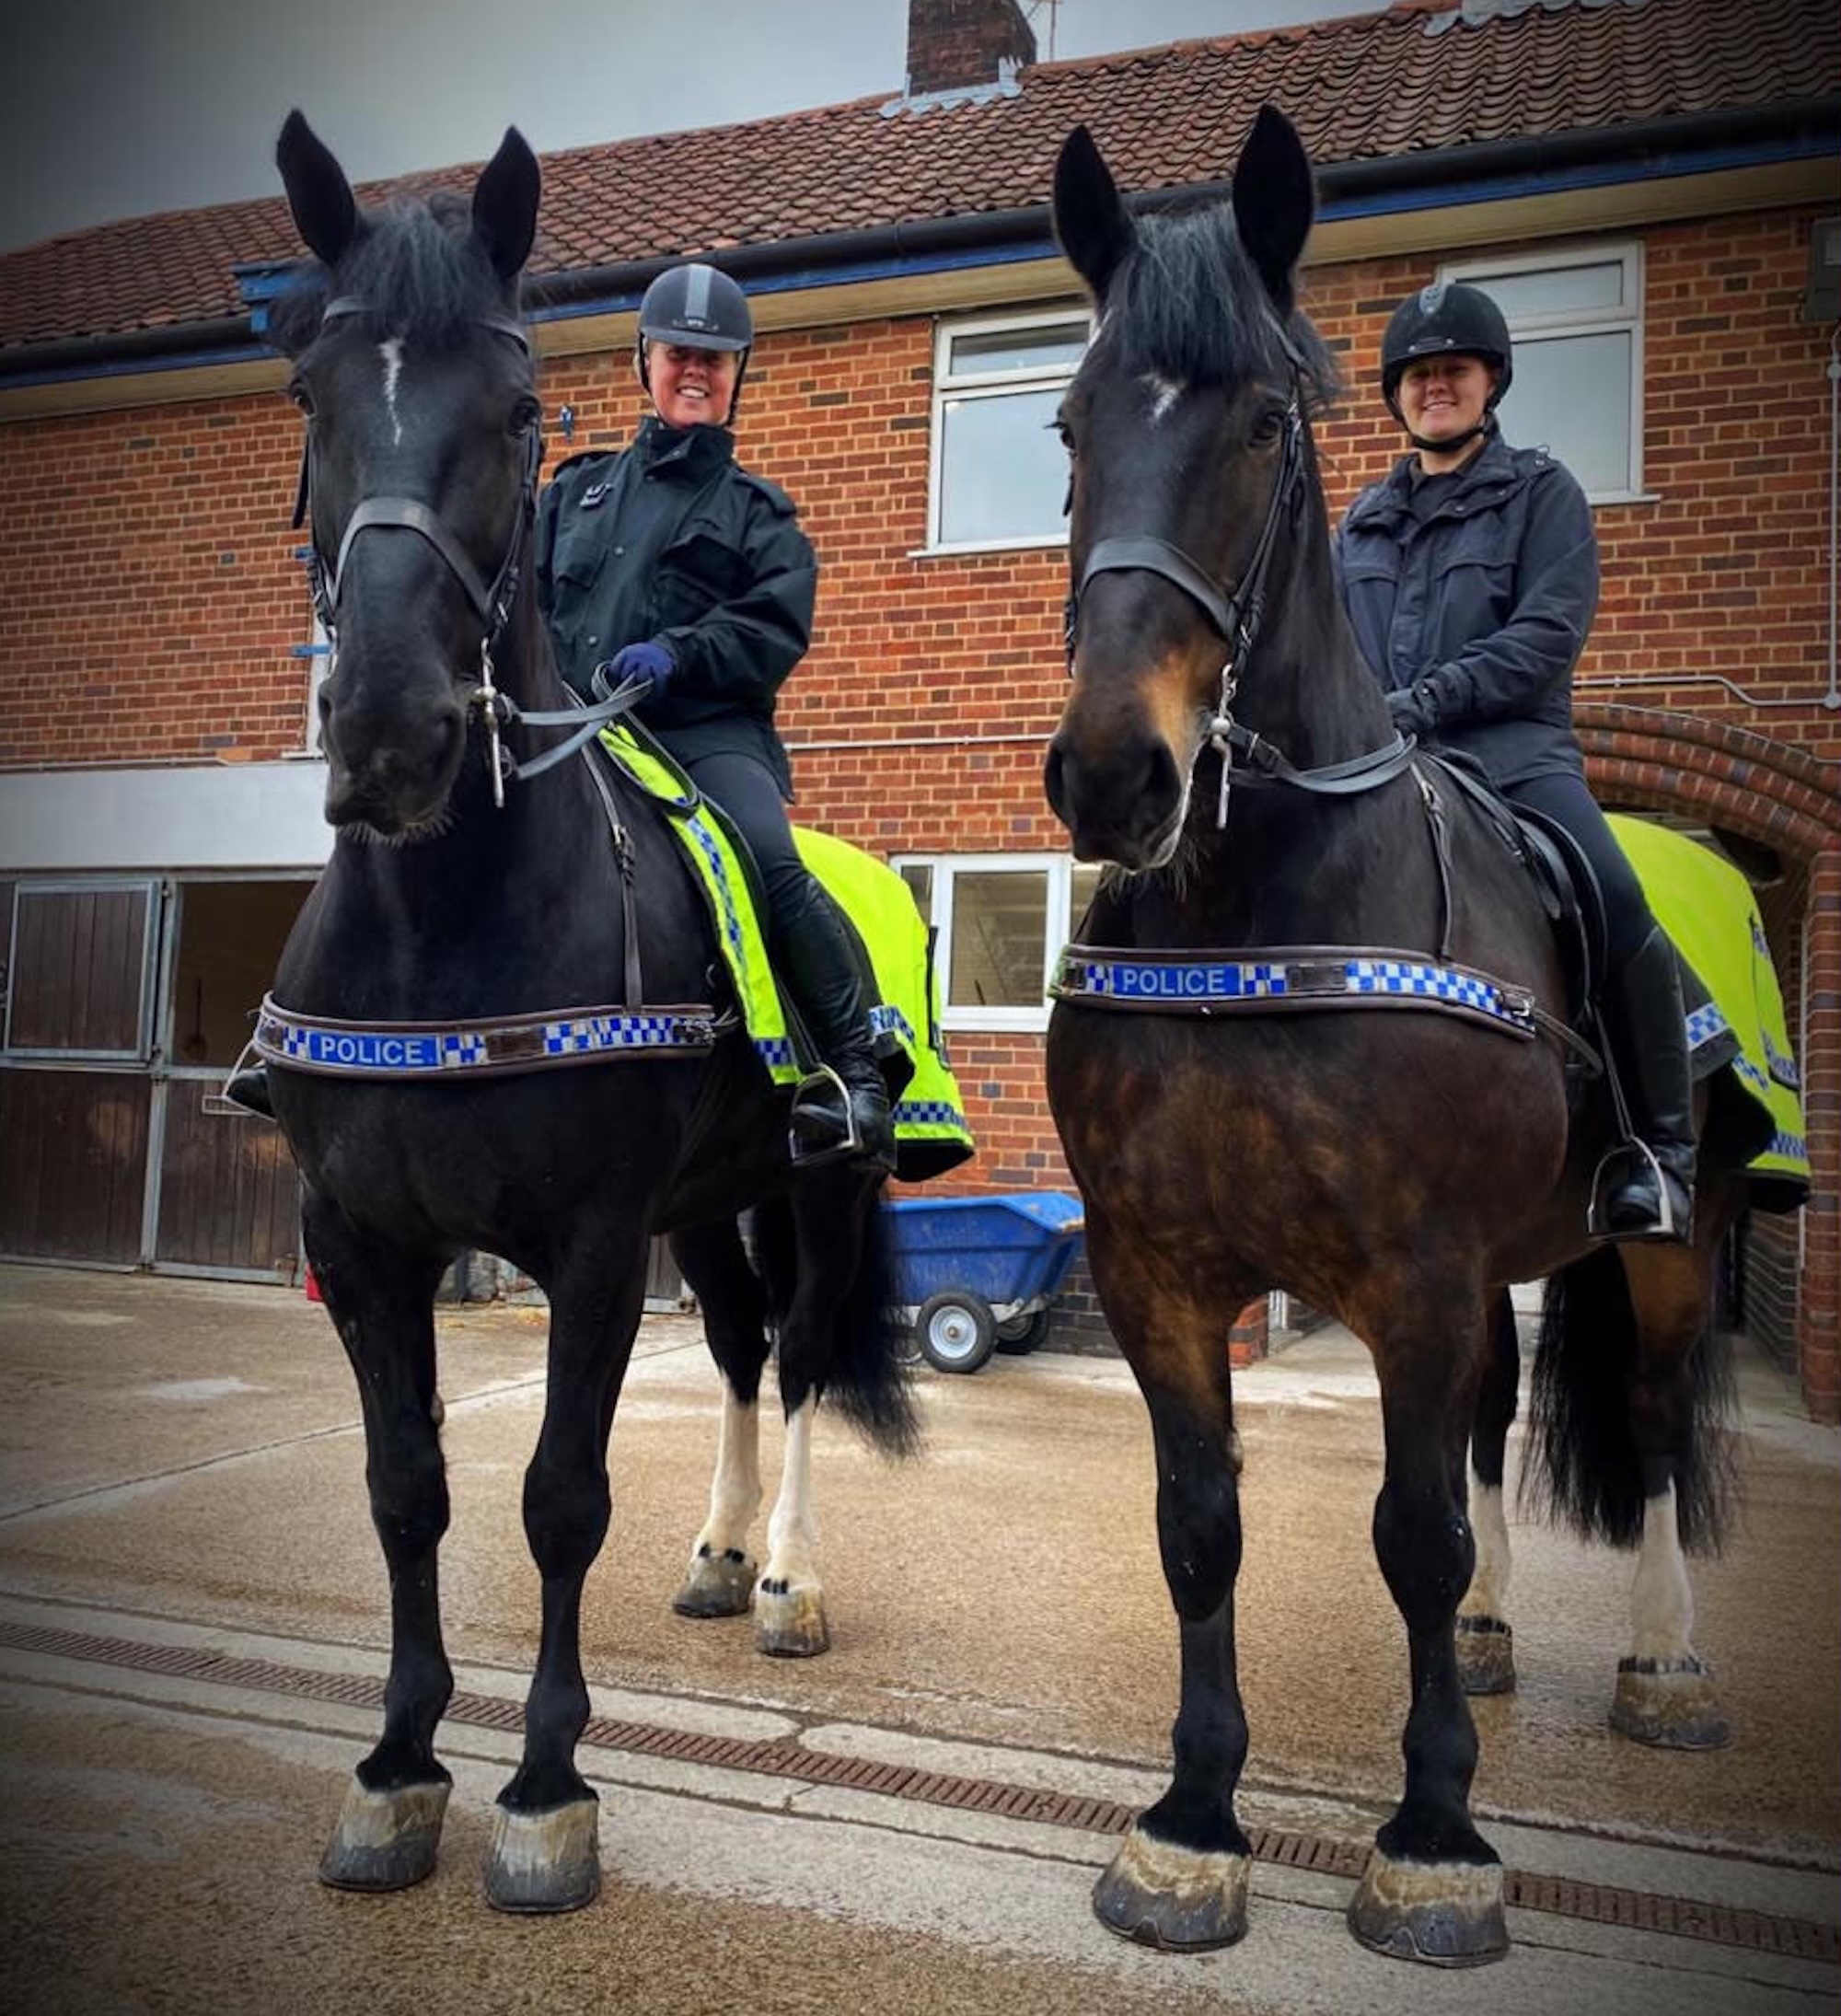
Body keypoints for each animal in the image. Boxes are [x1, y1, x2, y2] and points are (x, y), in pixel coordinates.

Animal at [262, 112, 913, 1914]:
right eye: (310, 392)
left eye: (520, 409)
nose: (393, 733)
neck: (446, 933)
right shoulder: (362, 1242)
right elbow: (404, 1491)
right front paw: (399, 1763)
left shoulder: (598, 1245)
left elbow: (557, 1497)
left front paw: (548, 1788)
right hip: (714, 1205)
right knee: (749, 1353)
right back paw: (721, 1553)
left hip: (820, 1189)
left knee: (808, 1356)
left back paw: (791, 1583)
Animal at [1041, 107, 1781, 1967]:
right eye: (1071, 424)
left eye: (1260, 424)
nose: (1115, 776)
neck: (1260, 912)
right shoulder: (1162, 1274)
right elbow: (1205, 1530)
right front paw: (1192, 1821)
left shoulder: (1422, 1272)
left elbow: (1414, 1536)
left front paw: (1435, 1837)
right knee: (1498, 1430)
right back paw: (1510, 1644)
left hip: (1665, 1242)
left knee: (1646, 1428)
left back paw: (1664, 1663)